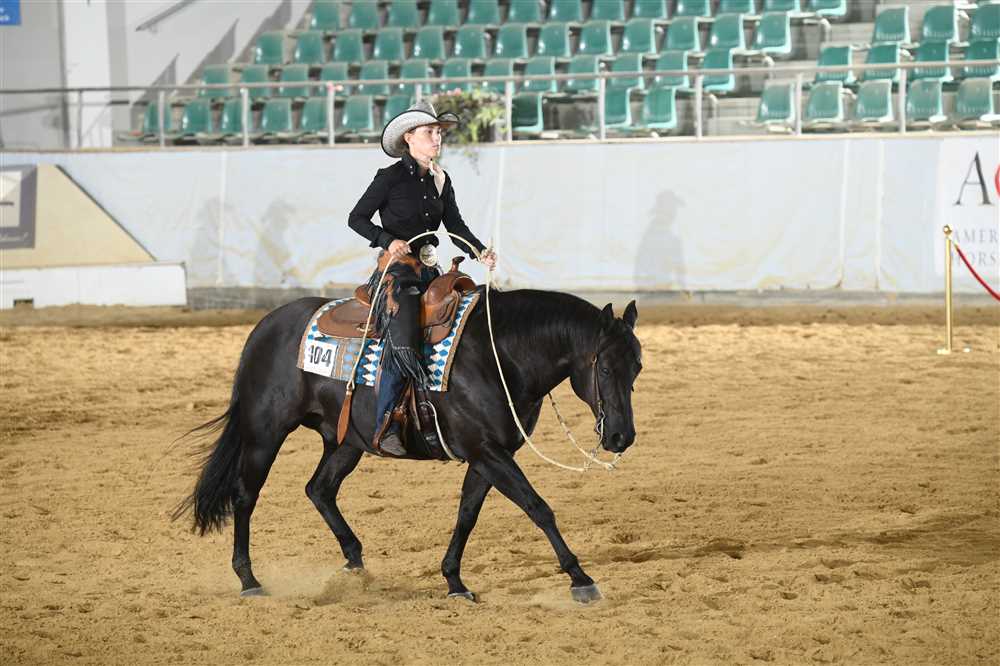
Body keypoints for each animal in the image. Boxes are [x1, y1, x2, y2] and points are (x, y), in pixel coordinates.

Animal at [173, 287, 642, 603]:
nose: (622, 436)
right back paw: (249, 580)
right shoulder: (487, 451)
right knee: (245, 497)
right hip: (264, 433)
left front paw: (454, 581)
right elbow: (537, 506)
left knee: (319, 489)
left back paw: (356, 568)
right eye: (604, 369)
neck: (499, 355)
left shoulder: (487, 454)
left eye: (637, 366)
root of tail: (265, 326)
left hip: (346, 441)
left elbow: (467, 514)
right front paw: (581, 579)